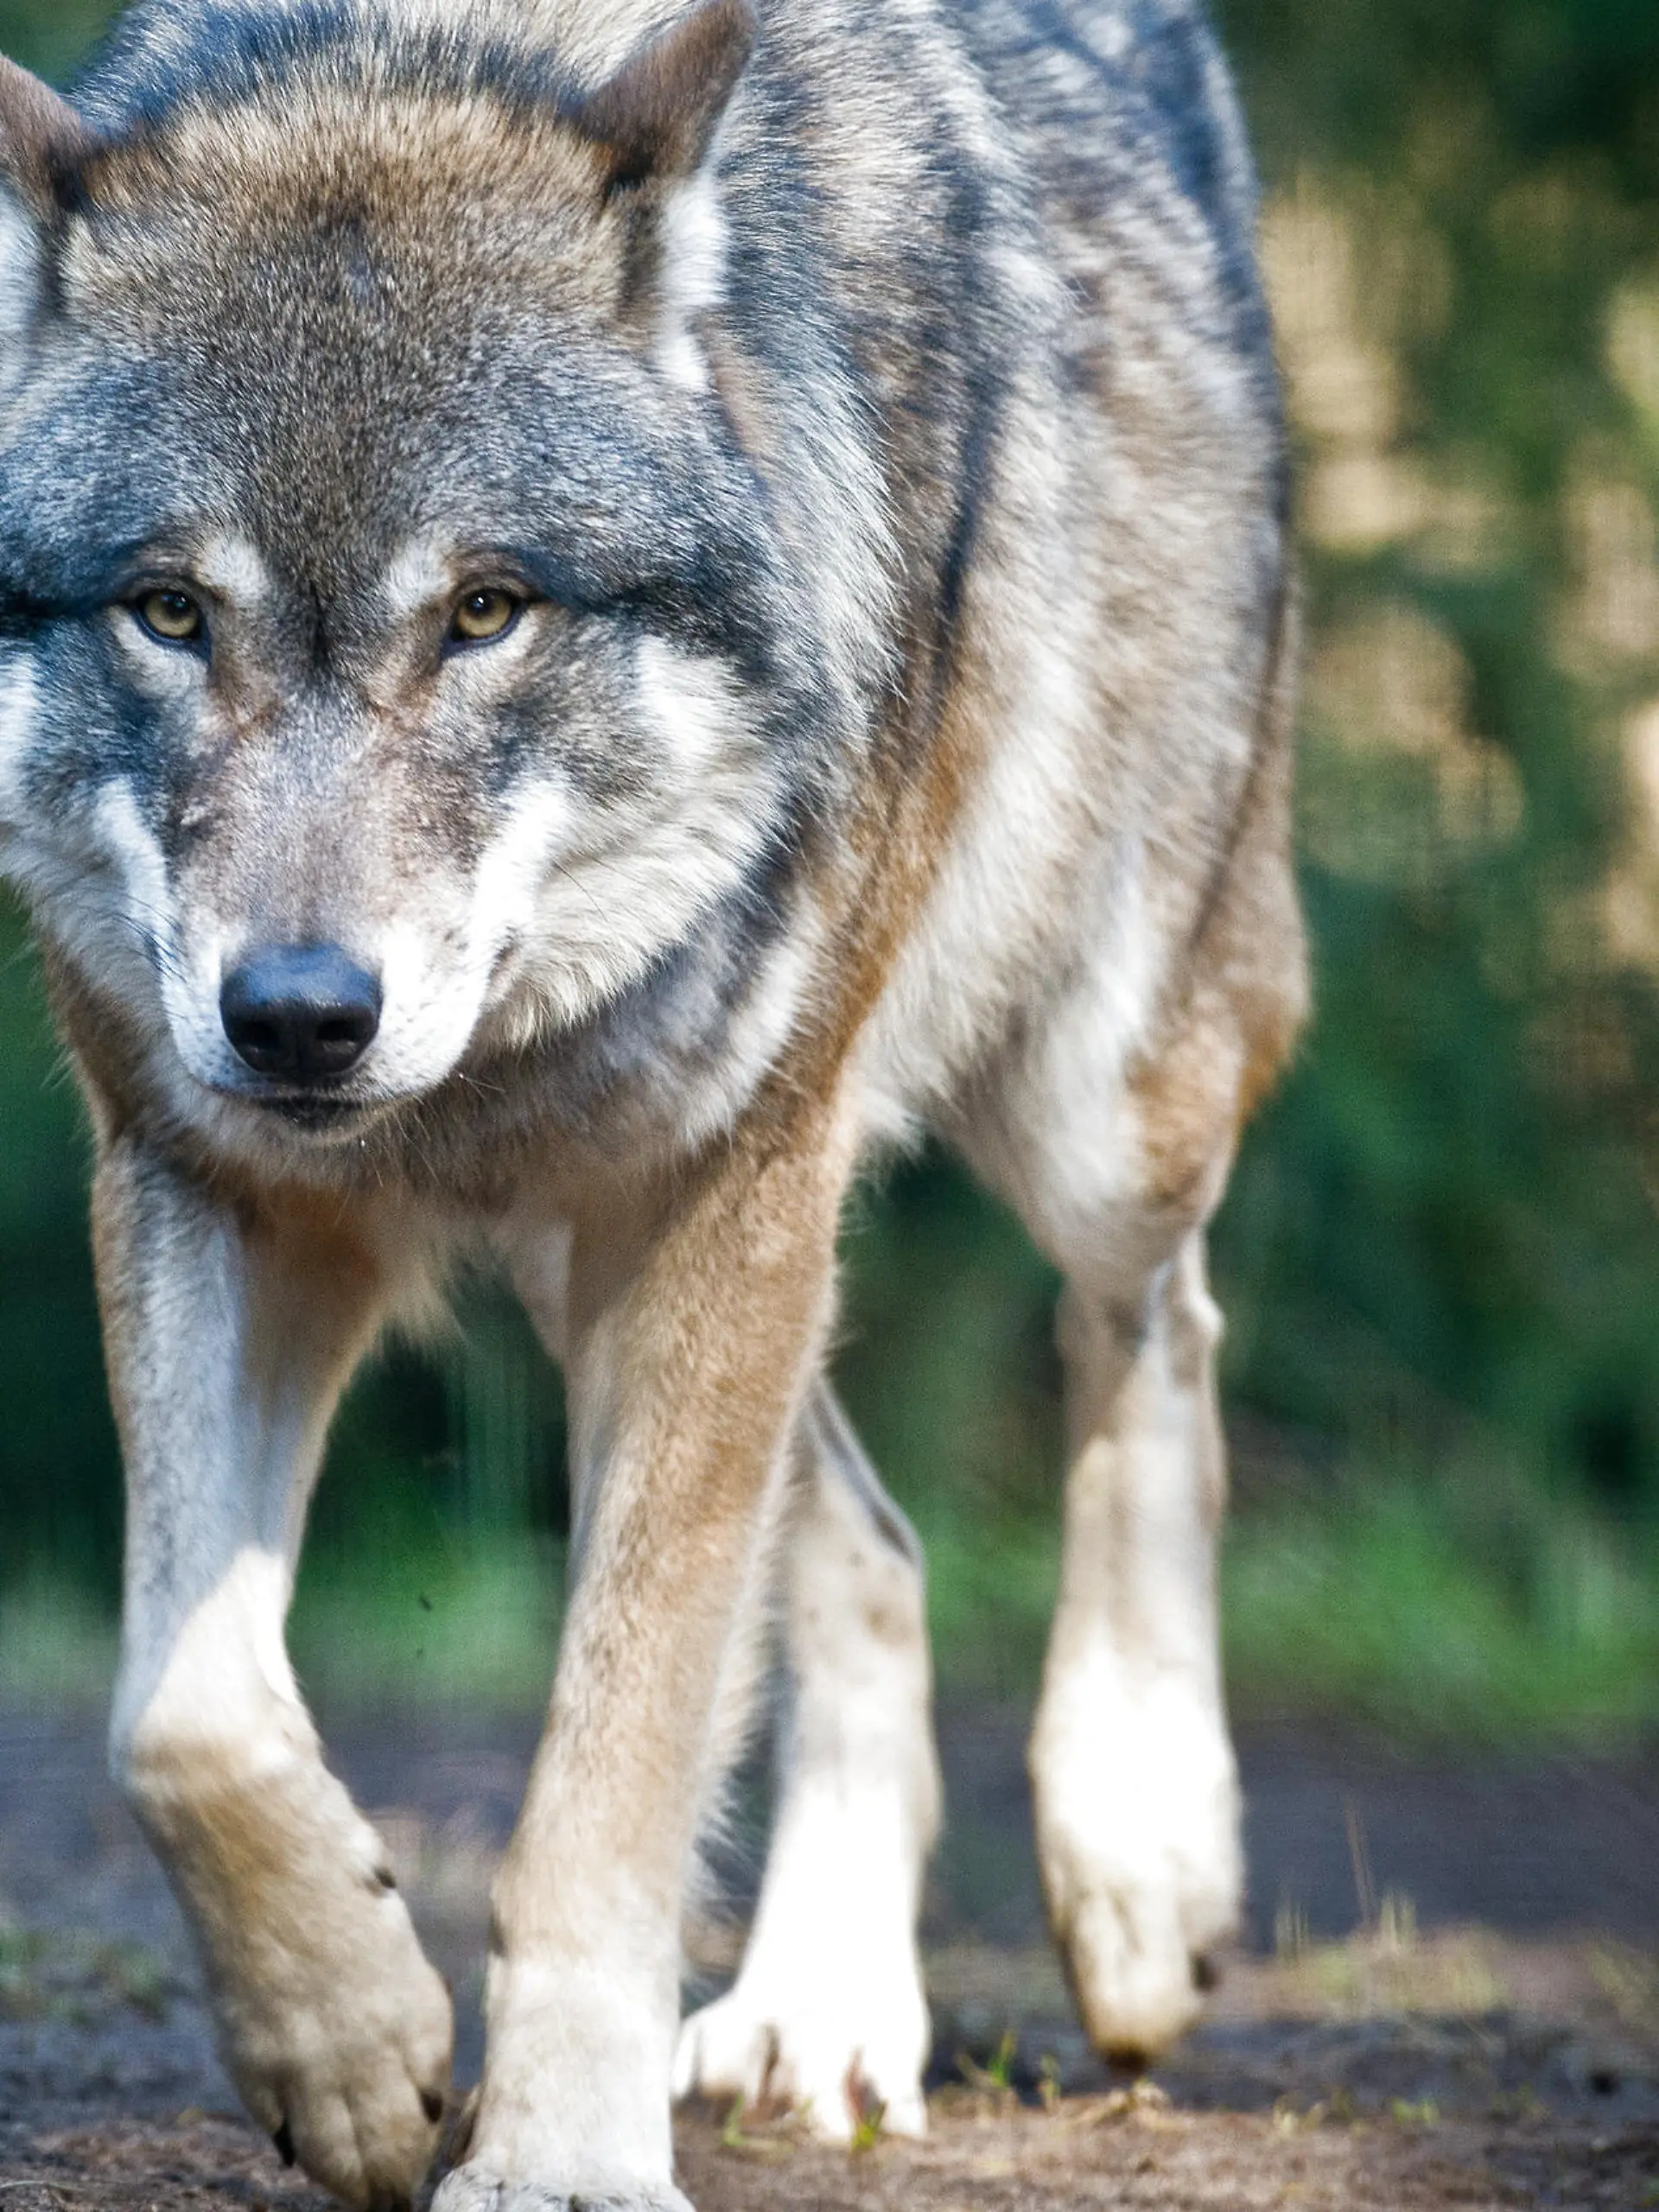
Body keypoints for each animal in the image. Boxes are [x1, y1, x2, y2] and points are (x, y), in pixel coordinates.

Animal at [0, 0, 1305, 2202]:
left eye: (486, 608)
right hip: (612, 1250)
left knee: (1158, 1327)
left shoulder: (720, 1186)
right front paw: (352, 2043)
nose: (298, 1020)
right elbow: (180, 1714)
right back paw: (824, 2012)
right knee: (876, 1541)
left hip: (1077, 1101)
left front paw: (553, 2157)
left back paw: (1136, 1858)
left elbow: (605, 1793)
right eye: (169, 611)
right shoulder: (207, 1182)